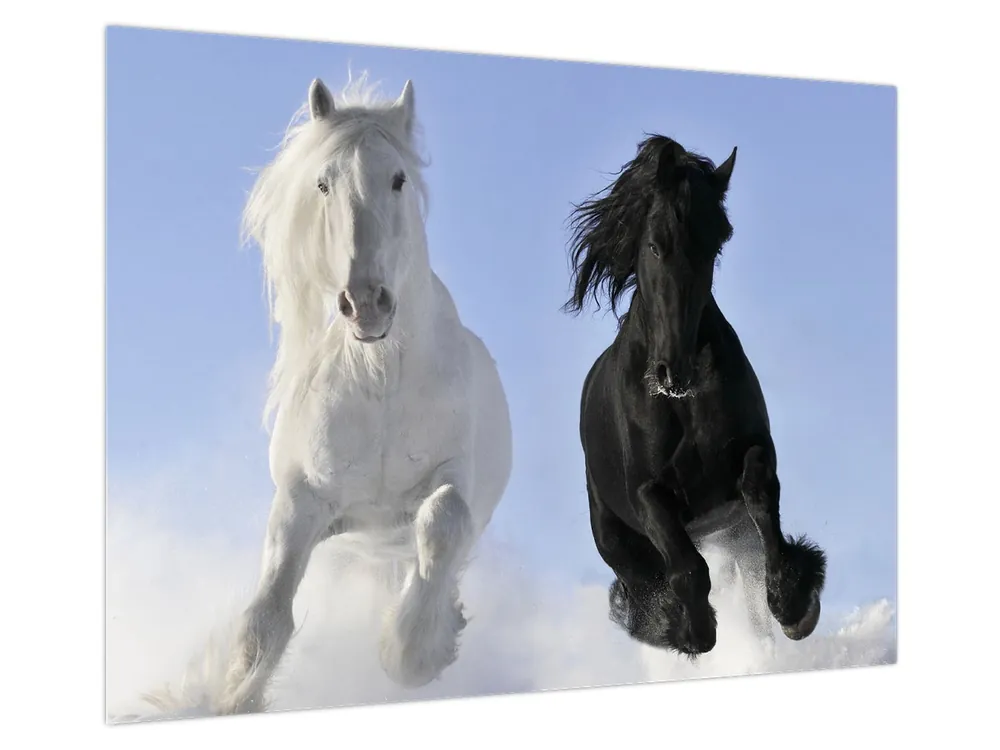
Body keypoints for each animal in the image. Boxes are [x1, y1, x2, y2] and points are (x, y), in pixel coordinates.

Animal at [214, 74, 513, 713]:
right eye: (323, 183)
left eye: (398, 179)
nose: (366, 303)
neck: (380, 381)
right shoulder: (302, 501)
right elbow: (265, 620)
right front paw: (231, 700)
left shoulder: (453, 478)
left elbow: (443, 519)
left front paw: (414, 651)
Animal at [562, 134, 827, 657]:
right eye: (654, 244)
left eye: (715, 245)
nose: (674, 371)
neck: (682, 404)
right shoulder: (647, 494)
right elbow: (686, 568)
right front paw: (689, 629)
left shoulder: (752, 452)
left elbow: (760, 493)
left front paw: (794, 603)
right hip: (616, 539)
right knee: (643, 580)